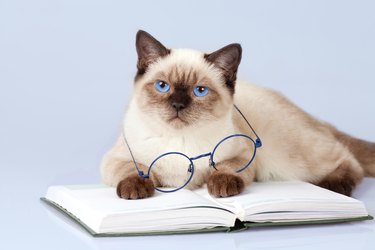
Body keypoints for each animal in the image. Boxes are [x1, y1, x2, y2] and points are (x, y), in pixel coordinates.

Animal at [100, 30, 375, 200]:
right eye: (162, 86)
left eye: (199, 91)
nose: (178, 105)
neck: (181, 140)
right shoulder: (116, 158)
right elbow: (135, 170)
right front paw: (136, 190)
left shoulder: (244, 154)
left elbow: (224, 168)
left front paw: (221, 187)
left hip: (288, 158)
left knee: (349, 160)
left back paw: (334, 187)